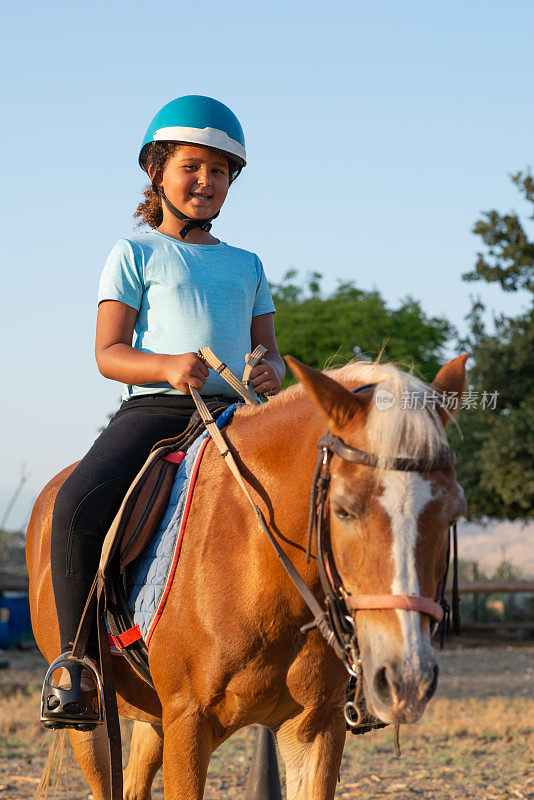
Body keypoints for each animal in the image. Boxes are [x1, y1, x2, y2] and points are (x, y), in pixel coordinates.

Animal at [26, 354, 468, 800]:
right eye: (343, 510)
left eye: (453, 513)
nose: (406, 679)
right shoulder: (188, 722)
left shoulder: (315, 728)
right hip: (93, 722)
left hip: (151, 714)